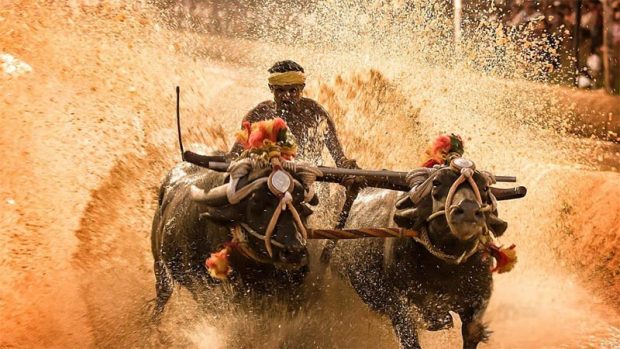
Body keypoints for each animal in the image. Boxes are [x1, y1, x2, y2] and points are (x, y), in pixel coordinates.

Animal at [332, 160, 512, 348]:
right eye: (436, 183)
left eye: (484, 187)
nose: (468, 210)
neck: (445, 267)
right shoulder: (400, 304)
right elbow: (412, 338)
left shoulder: (481, 294)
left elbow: (472, 331)